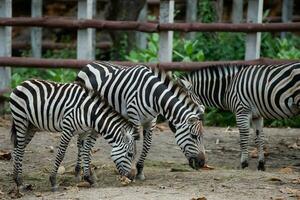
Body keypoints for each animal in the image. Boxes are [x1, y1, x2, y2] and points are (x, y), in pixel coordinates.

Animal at [75, 61, 206, 180]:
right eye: (194, 136)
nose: (202, 163)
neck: (154, 95)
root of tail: (89, 64)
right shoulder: (134, 118)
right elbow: (134, 144)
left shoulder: (151, 121)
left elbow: (147, 145)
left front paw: (140, 170)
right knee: (81, 142)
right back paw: (79, 171)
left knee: (85, 142)